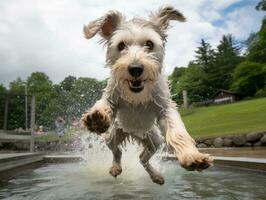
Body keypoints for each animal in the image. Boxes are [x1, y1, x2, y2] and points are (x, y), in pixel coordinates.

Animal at [82, 5, 213, 184]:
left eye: (149, 44)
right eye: (121, 45)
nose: (135, 68)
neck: (137, 96)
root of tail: (133, 134)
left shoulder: (165, 108)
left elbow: (178, 132)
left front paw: (191, 156)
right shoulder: (112, 96)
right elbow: (104, 104)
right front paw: (97, 117)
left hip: (154, 140)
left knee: (142, 158)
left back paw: (156, 175)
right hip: (113, 135)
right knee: (117, 151)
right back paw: (116, 166)